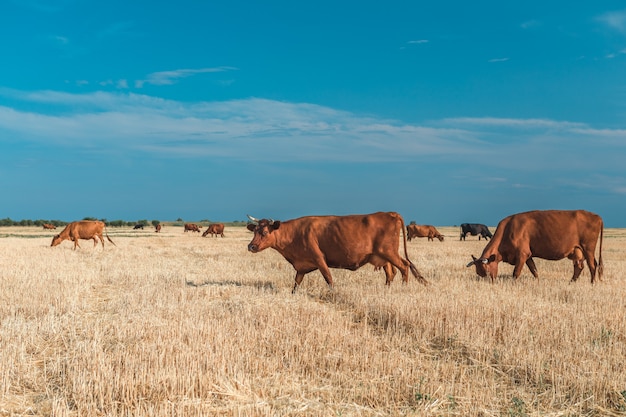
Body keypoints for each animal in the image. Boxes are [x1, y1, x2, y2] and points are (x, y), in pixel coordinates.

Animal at [246, 211, 426, 292]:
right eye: (254, 231)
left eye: (265, 232)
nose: (251, 247)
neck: (294, 234)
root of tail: (390, 213)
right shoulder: (302, 266)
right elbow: (296, 283)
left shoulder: (319, 259)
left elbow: (329, 278)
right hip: (381, 256)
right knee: (391, 272)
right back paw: (386, 289)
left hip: (389, 252)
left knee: (404, 266)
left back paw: (403, 288)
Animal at [466, 208, 604, 282]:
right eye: (478, 273)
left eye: (487, 271)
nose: (489, 283)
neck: (508, 229)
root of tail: (597, 216)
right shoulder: (528, 256)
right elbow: (534, 270)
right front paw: (537, 282)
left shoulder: (522, 254)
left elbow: (516, 273)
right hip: (577, 250)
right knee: (579, 267)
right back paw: (571, 282)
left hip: (588, 248)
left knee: (593, 265)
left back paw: (592, 283)